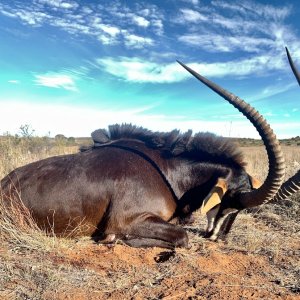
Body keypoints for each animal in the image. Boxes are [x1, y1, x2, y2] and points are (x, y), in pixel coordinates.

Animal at [0, 61, 286, 248]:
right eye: (231, 200)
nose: (220, 237)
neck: (169, 170)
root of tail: (5, 182)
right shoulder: (127, 220)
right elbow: (182, 237)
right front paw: (112, 239)